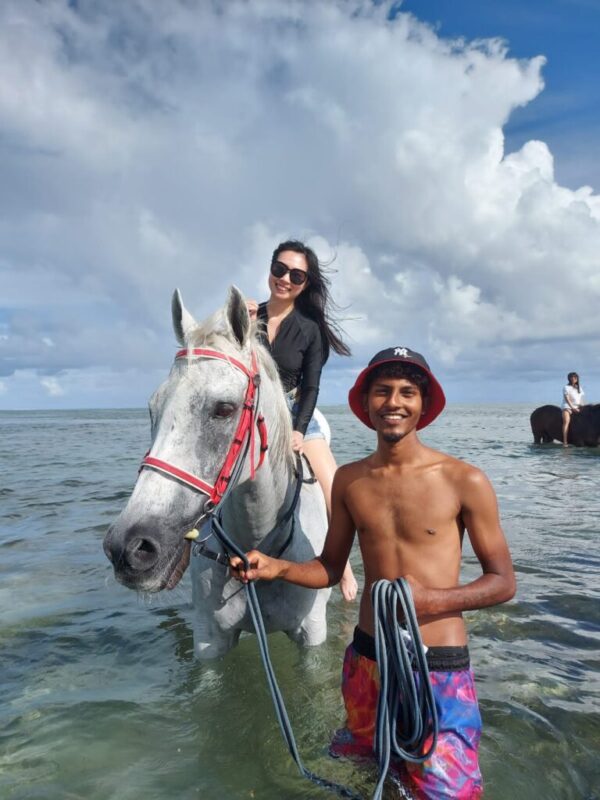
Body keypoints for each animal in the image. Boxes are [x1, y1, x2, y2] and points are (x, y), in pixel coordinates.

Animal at [103, 287, 331, 658]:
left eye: (224, 408)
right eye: (152, 407)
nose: (127, 547)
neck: (259, 550)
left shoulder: (312, 635)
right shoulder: (210, 638)